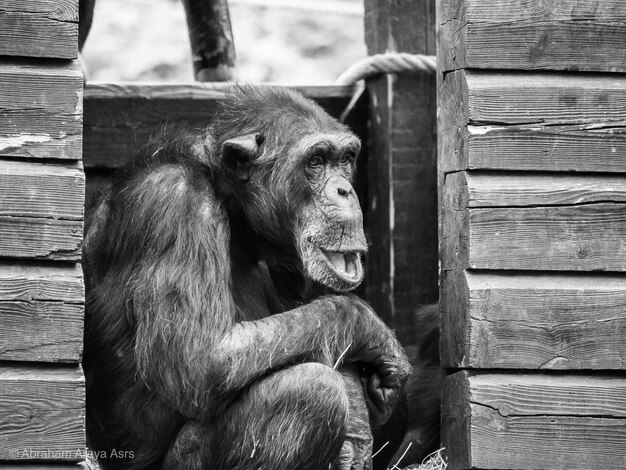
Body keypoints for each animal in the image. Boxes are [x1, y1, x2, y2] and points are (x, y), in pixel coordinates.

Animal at [83, 83, 412, 466]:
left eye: (345, 160)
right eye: (315, 162)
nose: (345, 190)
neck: (234, 208)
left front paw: (360, 419)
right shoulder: (175, 203)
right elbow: (200, 360)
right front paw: (369, 329)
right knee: (312, 392)